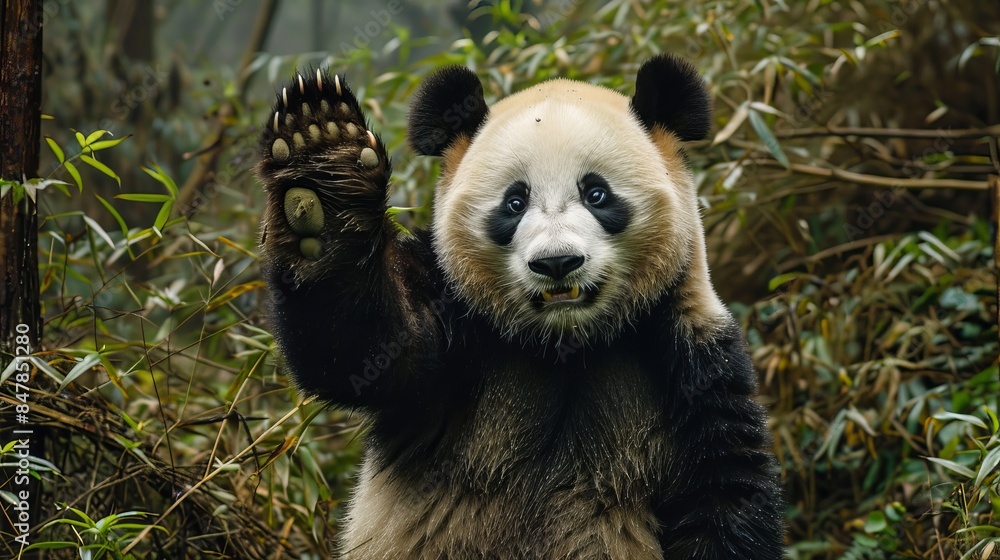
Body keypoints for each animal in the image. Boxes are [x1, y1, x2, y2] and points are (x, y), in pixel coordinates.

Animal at [255, 54, 784, 559]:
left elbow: (725, 489)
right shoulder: (455, 321)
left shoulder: (688, 355)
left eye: (597, 194)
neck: (565, 344)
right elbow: (362, 351)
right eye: (514, 202)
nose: (557, 263)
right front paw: (321, 160)